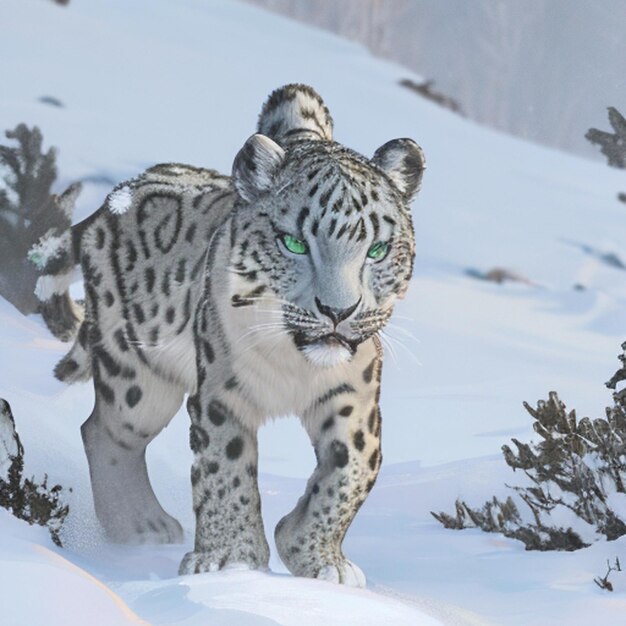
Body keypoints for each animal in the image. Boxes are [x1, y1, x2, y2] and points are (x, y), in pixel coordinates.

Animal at [52, 84, 424, 584]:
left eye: (378, 249)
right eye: (295, 242)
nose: (337, 311)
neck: (295, 366)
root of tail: (111, 200)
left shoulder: (353, 397)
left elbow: (353, 469)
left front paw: (318, 558)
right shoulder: (221, 392)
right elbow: (224, 468)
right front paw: (231, 561)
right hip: (138, 379)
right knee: (106, 430)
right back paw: (140, 526)